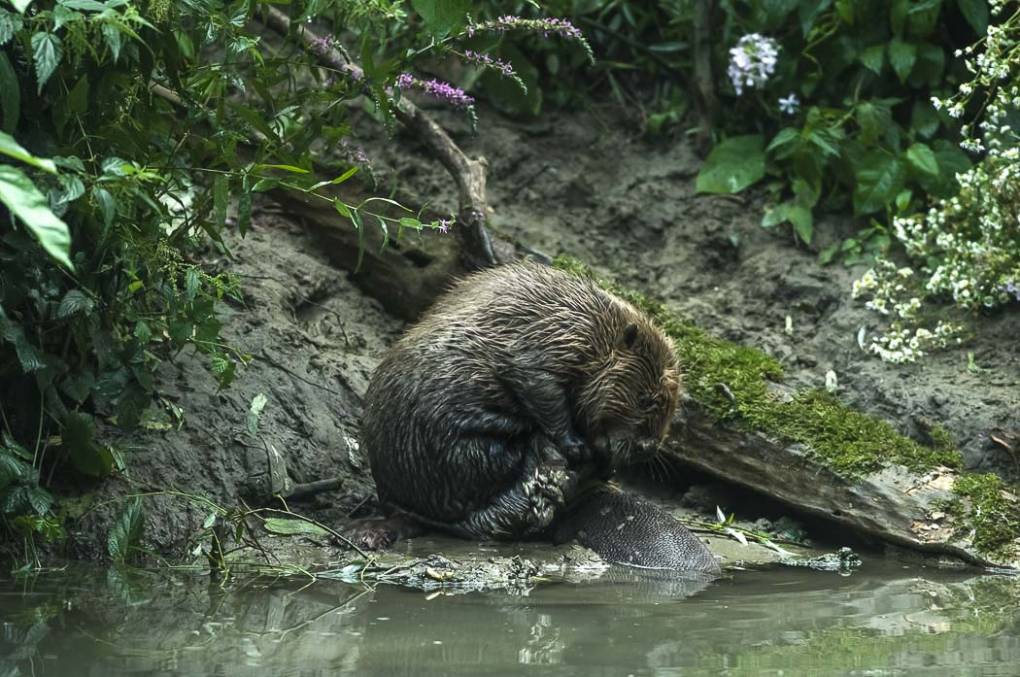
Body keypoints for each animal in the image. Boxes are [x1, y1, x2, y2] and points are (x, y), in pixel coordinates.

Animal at [354, 258, 722, 570]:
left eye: (672, 406)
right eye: (646, 399)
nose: (648, 448)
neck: (598, 330)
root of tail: (397, 505)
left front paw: (604, 462)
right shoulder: (549, 343)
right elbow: (538, 386)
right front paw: (575, 446)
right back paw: (549, 463)